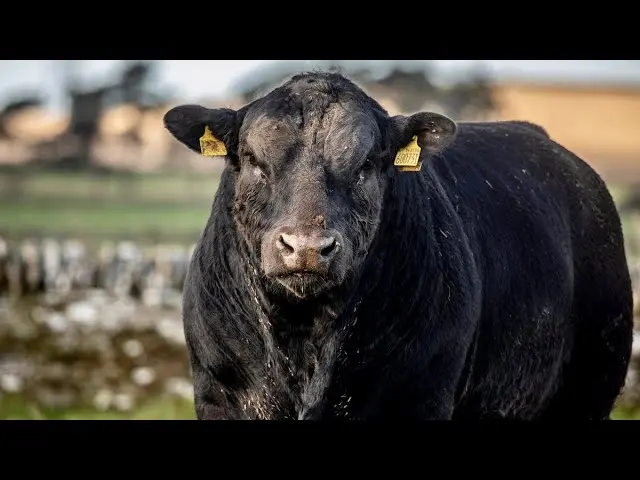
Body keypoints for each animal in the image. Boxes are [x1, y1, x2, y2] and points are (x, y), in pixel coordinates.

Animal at [163, 71, 634, 420]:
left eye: (367, 163)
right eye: (253, 160)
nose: (307, 247)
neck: (304, 341)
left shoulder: (419, 397)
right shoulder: (219, 394)